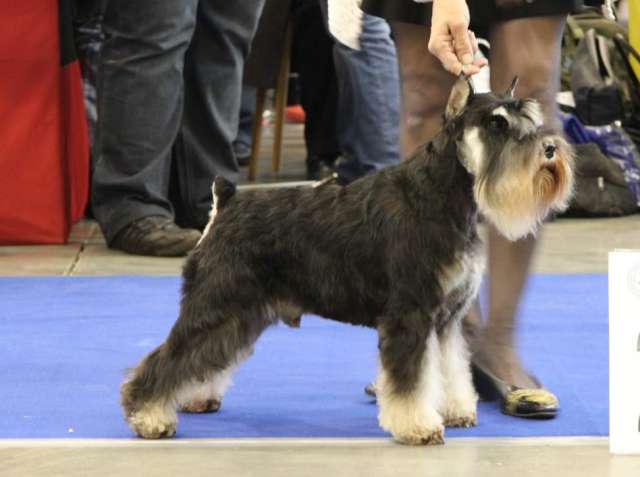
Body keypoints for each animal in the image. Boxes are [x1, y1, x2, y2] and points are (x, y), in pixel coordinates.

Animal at [120, 76, 576, 444]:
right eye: (497, 124)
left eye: (531, 118)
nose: (550, 148)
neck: (441, 194)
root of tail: (226, 200)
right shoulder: (411, 314)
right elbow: (411, 380)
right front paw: (417, 426)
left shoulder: (446, 321)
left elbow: (449, 369)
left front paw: (457, 409)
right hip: (217, 304)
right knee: (169, 358)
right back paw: (148, 416)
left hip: (241, 314)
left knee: (206, 357)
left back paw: (195, 398)